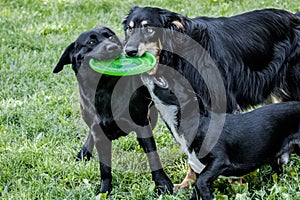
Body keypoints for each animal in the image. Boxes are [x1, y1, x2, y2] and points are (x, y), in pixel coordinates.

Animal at [52, 25, 172, 196]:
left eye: (111, 37)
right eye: (91, 42)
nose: (113, 47)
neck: (105, 90)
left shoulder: (141, 123)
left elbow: (153, 156)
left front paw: (163, 184)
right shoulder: (99, 133)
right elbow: (105, 167)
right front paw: (104, 190)